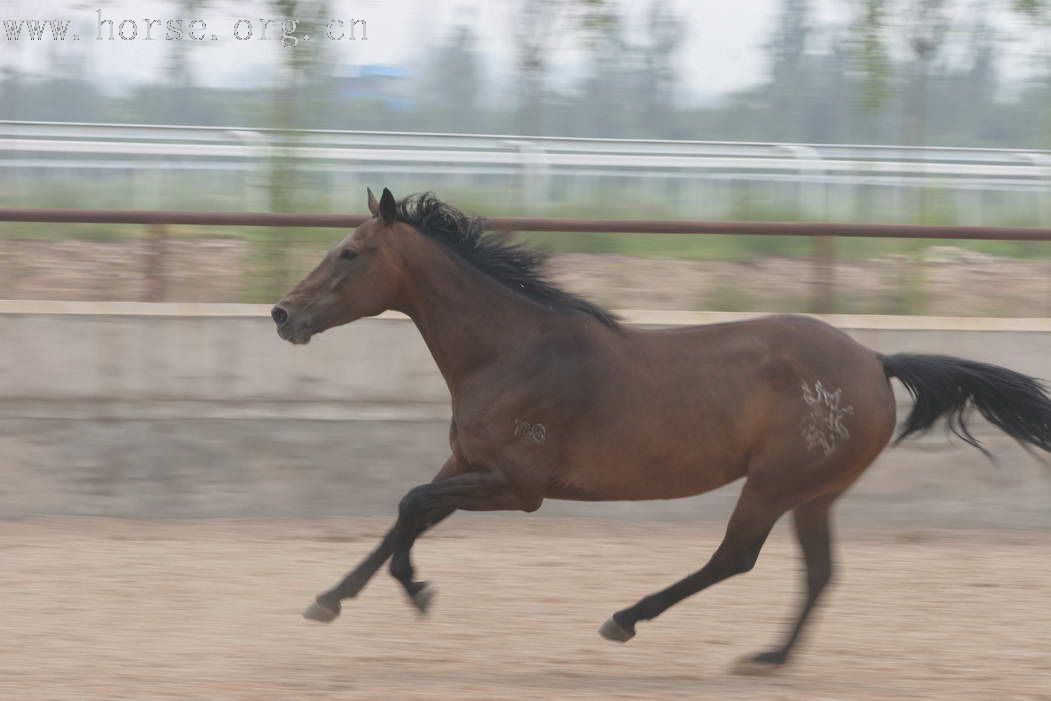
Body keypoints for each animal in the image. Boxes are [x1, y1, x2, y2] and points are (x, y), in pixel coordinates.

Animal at [271, 186, 1051, 668]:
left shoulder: (517, 486)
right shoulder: (466, 465)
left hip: (775, 483)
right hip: (815, 493)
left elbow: (409, 507)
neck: (512, 348)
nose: (283, 314)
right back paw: (769, 658)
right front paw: (328, 600)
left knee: (735, 557)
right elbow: (404, 516)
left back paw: (626, 617)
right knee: (820, 570)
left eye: (349, 253)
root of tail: (875, 359)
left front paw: (416, 590)